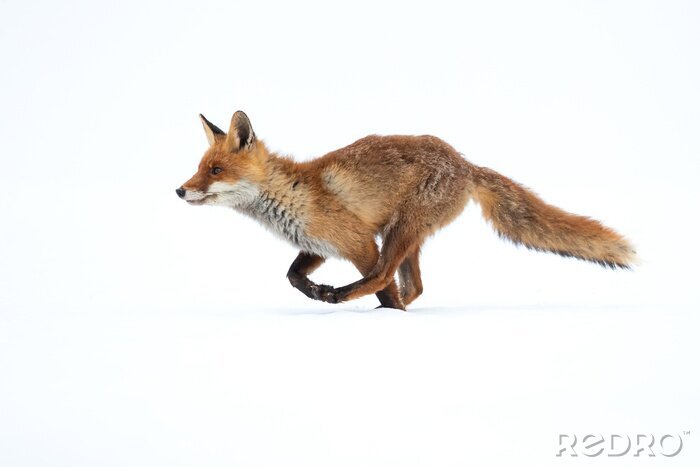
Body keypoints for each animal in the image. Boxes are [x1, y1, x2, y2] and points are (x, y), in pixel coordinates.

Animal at [177, 110, 636, 310]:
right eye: (199, 167)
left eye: (215, 170)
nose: (180, 190)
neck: (291, 194)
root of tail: (465, 163)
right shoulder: (321, 245)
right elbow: (291, 275)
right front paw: (313, 291)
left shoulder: (358, 240)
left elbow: (379, 281)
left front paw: (351, 302)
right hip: (406, 236)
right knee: (415, 287)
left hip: (399, 232)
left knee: (387, 278)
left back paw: (360, 302)